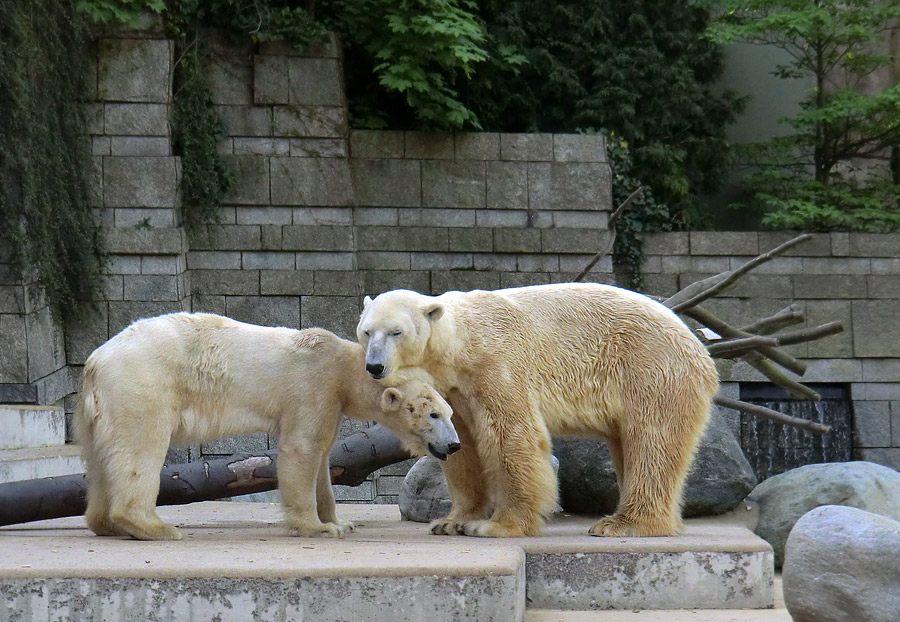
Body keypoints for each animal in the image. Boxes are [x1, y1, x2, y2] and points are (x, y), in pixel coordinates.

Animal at [74, 314, 460, 544]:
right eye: (434, 415)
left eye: (449, 411)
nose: (454, 445)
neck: (343, 365)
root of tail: (95, 361)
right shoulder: (314, 384)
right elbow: (302, 448)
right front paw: (317, 527)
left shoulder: (330, 399)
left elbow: (322, 454)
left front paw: (341, 522)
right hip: (142, 385)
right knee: (141, 447)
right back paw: (155, 527)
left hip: (96, 410)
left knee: (100, 459)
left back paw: (104, 522)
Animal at [356, 286, 716, 540]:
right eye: (366, 331)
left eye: (396, 331)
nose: (374, 366)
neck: (461, 344)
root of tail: (699, 346)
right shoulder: (455, 390)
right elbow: (464, 448)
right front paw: (452, 521)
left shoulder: (497, 365)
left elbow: (511, 434)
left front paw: (497, 526)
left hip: (651, 369)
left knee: (652, 441)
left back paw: (624, 523)